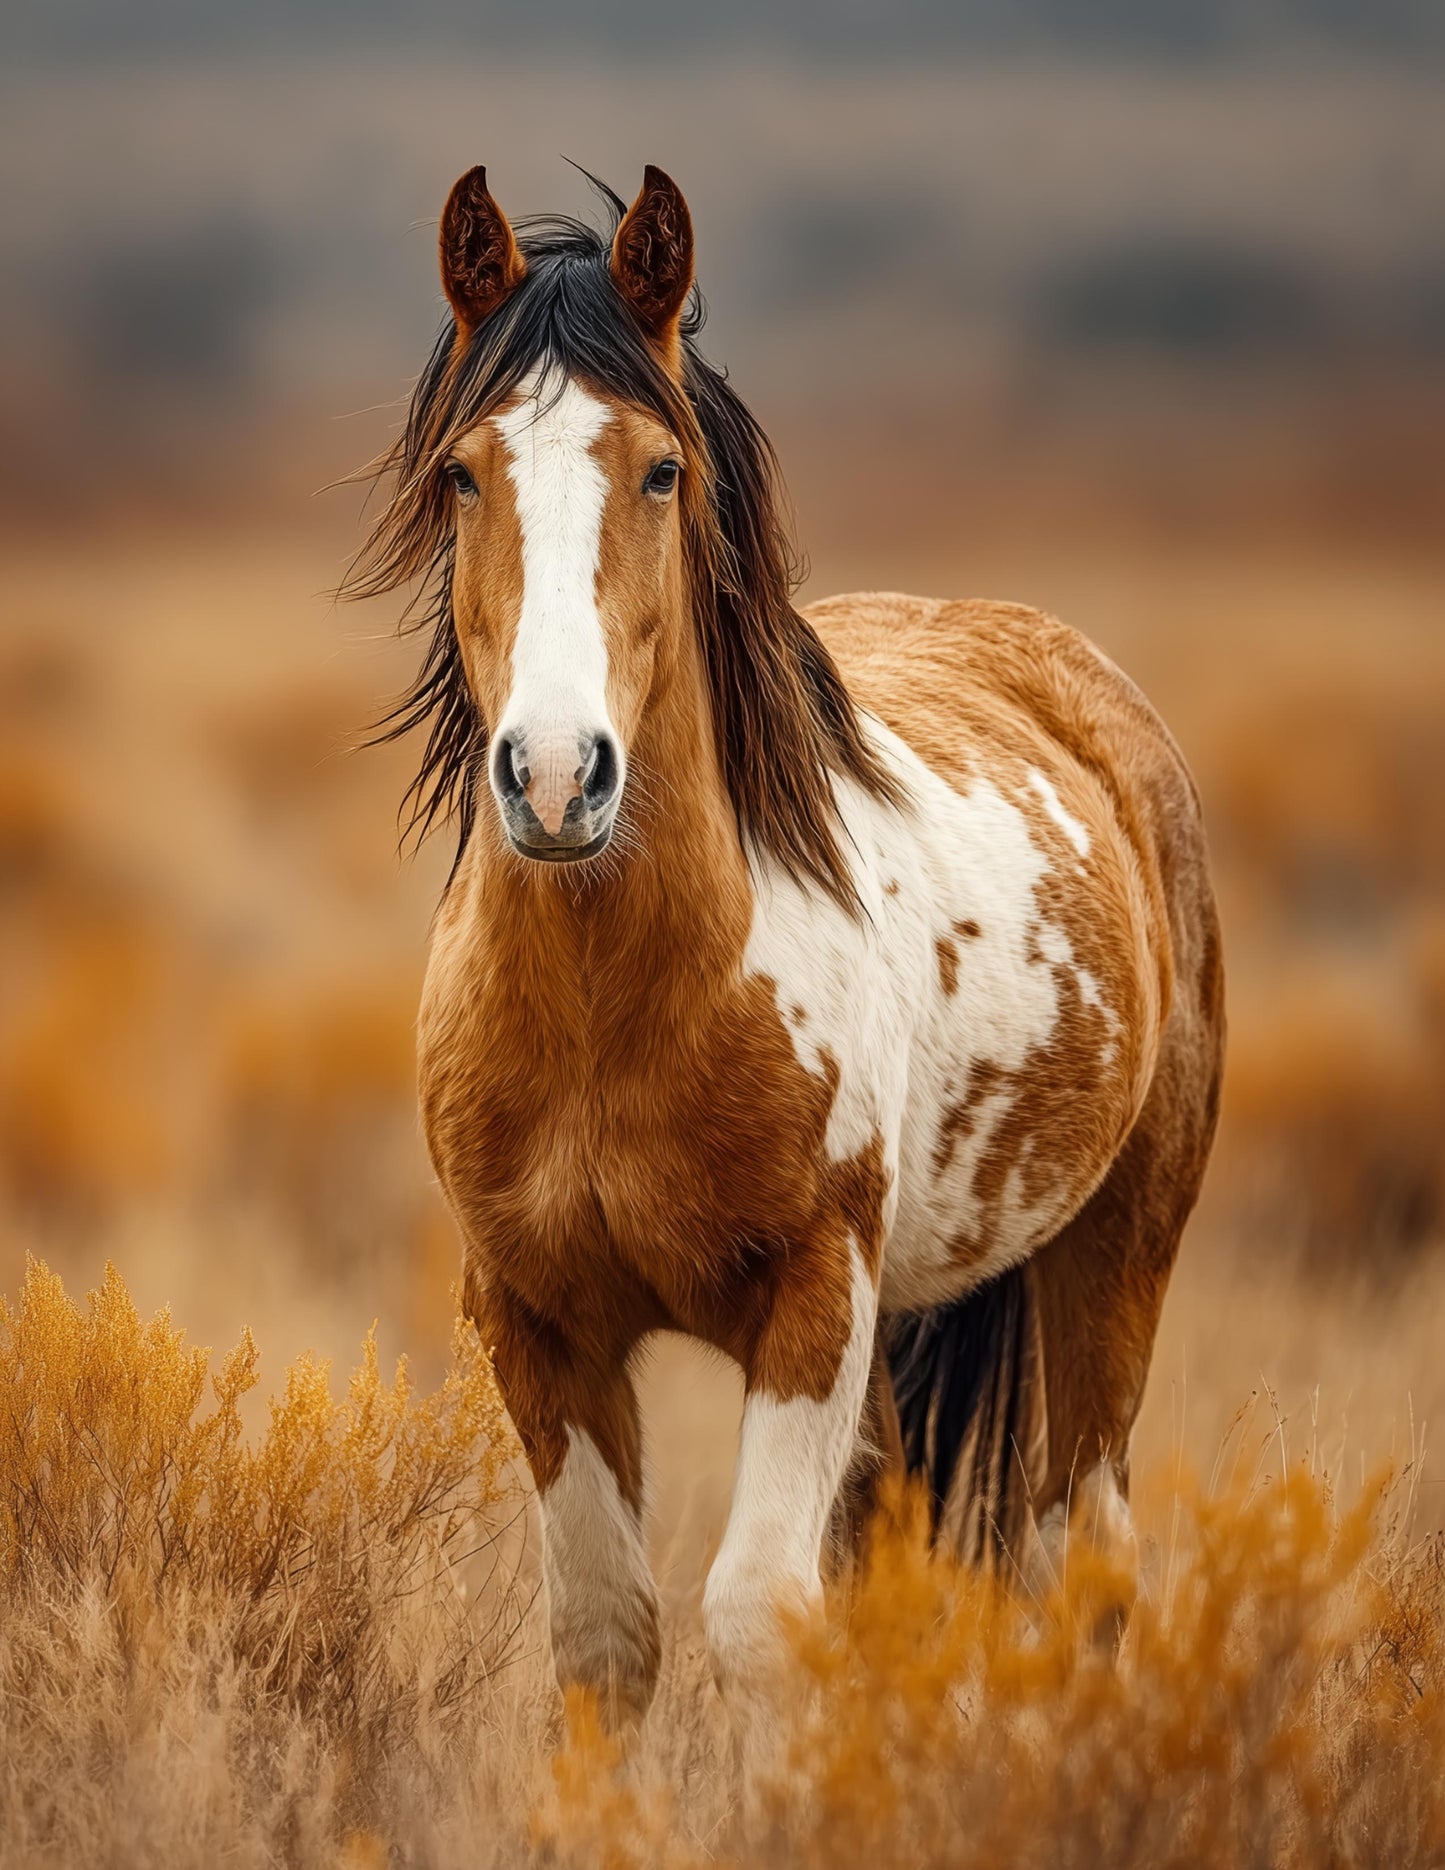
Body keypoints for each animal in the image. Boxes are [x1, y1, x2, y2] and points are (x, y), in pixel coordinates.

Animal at [348, 164, 1225, 1730]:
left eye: (660, 470)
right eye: (462, 472)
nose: (557, 777)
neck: (618, 1006)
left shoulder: (812, 1299)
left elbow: (759, 1617)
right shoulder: (537, 1324)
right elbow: (609, 1635)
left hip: (1112, 1256)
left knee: (1088, 1555)